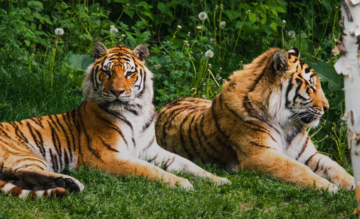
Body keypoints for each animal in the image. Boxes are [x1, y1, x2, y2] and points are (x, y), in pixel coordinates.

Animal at [0, 42, 231, 198]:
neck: (136, 112)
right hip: (25, 153)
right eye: (107, 72)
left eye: (129, 73)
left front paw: (219, 179)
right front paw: (182, 183)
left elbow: (190, 164)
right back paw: (72, 183)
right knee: (22, 171)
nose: (117, 92)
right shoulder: (106, 156)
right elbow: (148, 169)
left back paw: (68, 183)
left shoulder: (152, 151)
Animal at [156, 47, 356, 192]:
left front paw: (351, 182)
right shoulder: (261, 155)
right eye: (311, 86)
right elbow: (296, 169)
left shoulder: (307, 154)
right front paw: (327, 186)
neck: (287, 123)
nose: (327, 108)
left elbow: (332, 165)